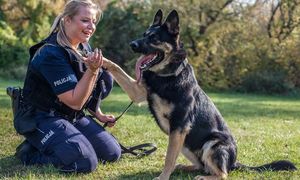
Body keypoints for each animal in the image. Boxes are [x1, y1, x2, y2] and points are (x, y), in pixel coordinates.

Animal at [105, 10, 296, 180]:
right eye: (144, 35)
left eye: (154, 38)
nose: (132, 44)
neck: (168, 75)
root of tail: (233, 162)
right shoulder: (139, 94)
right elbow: (117, 67)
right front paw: (100, 60)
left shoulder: (179, 126)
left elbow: (168, 157)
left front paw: (162, 177)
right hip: (186, 144)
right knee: (201, 166)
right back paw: (184, 167)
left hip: (212, 143)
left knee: (222, 174)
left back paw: (204, 176)